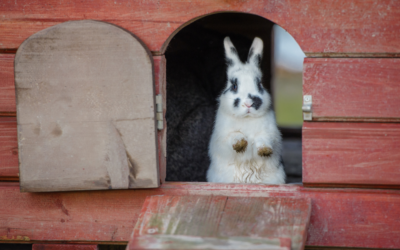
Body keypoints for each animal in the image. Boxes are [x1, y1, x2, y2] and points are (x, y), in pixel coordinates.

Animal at [208, 36, 286, 185]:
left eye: (259, 84)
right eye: (234, 85)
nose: (249, 103)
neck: (247, 118)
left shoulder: (270, 134)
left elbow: (264, 139)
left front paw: (265, 150)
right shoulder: (222, 138)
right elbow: (234, 136)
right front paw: (240, 144)